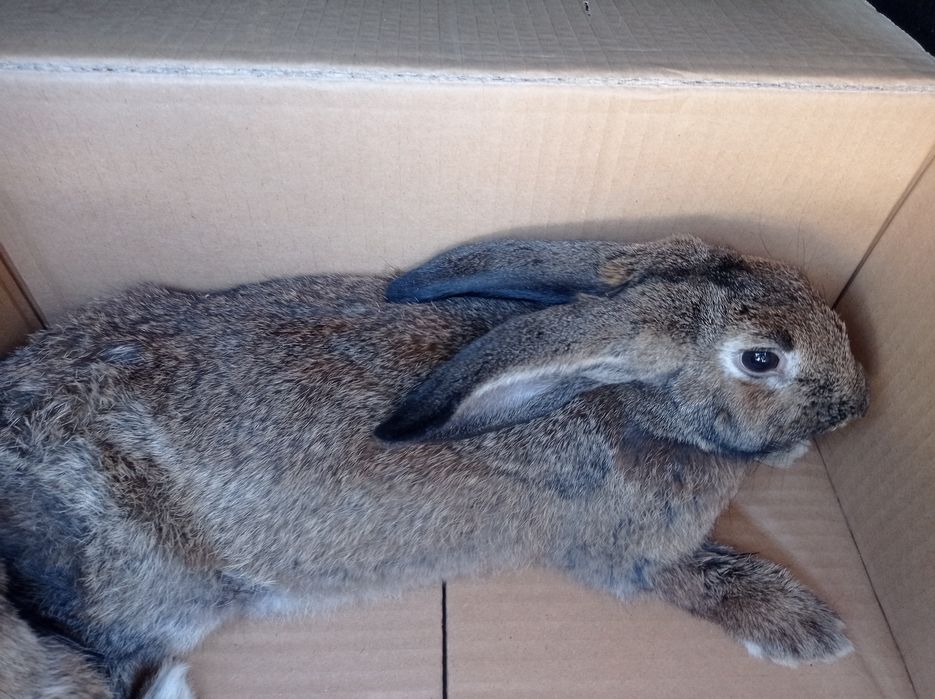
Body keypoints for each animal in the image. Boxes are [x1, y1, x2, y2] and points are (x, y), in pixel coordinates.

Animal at [0, 235, 868, 698]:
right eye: (761, 358)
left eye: (797, 282)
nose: (858, 401)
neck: (627, 395)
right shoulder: (628, 555)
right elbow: (703, 577)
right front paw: (807, 630)